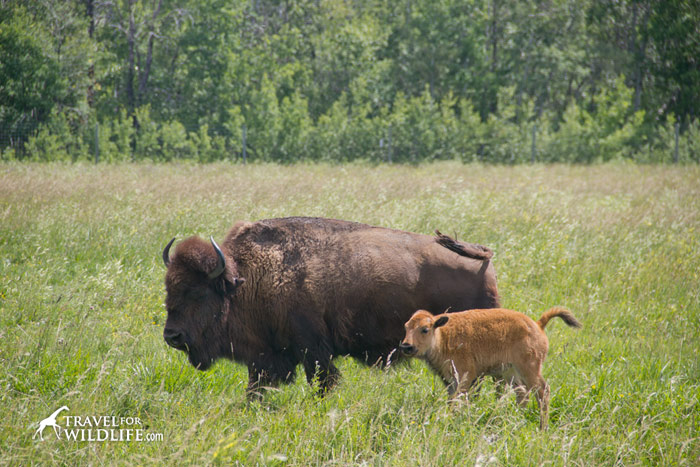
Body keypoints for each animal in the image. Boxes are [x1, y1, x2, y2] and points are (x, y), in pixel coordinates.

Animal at [160, 218, 498, 396]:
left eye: (198, 293)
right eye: (169, 289)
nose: (172, 336)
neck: (247, 277)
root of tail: (484, 259)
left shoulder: (313, 351)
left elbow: (323, 381)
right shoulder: (266, 357)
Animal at [400, 308, 580, 432]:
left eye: (425, 329)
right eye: (406, 327)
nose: (406, 346)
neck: (443, 336)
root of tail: (537, 325)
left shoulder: (465, 377)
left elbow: (460, 401)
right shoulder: (450, 381)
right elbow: (452, 401)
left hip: (530, 369)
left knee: (543, 391)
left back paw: (543, 427)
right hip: (511, 372)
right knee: (523, 393)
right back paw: (516, 418)